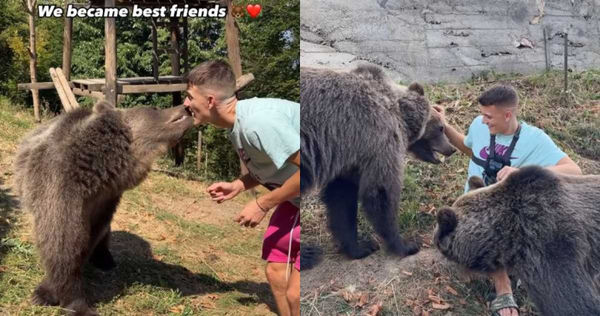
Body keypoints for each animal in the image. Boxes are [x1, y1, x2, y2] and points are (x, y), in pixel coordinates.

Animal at [12, 102, 193, 316]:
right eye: (153, 109)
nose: (186, 107)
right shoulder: (60, 187)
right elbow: (63, 243)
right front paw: (65, 300)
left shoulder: (106, 200)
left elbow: (88, 238)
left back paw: (105, 258)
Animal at [302, 65, 458, 268]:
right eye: (441, 127)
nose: (452, 149)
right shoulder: (379, 138)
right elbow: (380, 191)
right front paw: (405, 244)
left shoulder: (352, 155)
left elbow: (341, 198)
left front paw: (359, 247)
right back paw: (307, 253)